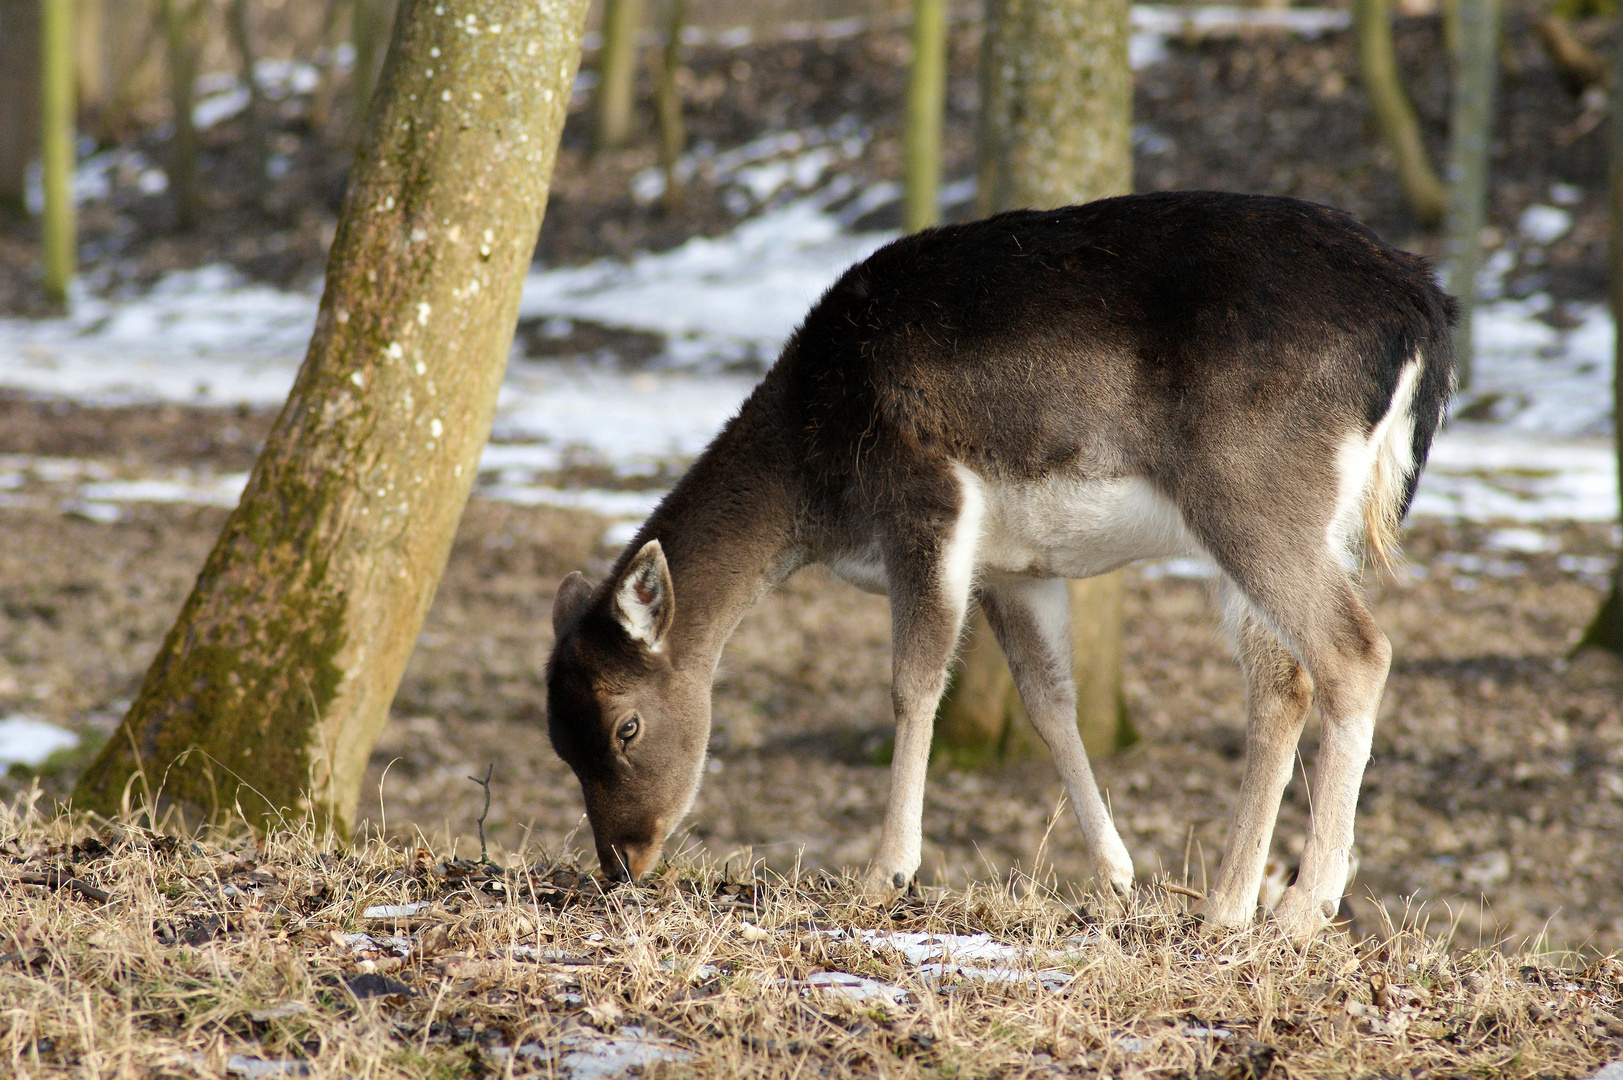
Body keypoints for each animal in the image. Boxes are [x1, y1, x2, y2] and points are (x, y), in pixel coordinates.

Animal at [538, 189, 1454, 941]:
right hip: (1306, 522)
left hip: (1254, 492)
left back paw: (1301, 908)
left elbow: (913, 682)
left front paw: (885, 873)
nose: (622, 862)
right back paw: (1226, 906)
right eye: (556, 740)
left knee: (1353, 652)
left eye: (625, 725)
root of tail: (1423, 312)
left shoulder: (927, 497)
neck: (816, 479)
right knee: (1281, 682)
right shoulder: (1018, 569)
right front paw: (1116, 876)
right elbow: (1050, 704)